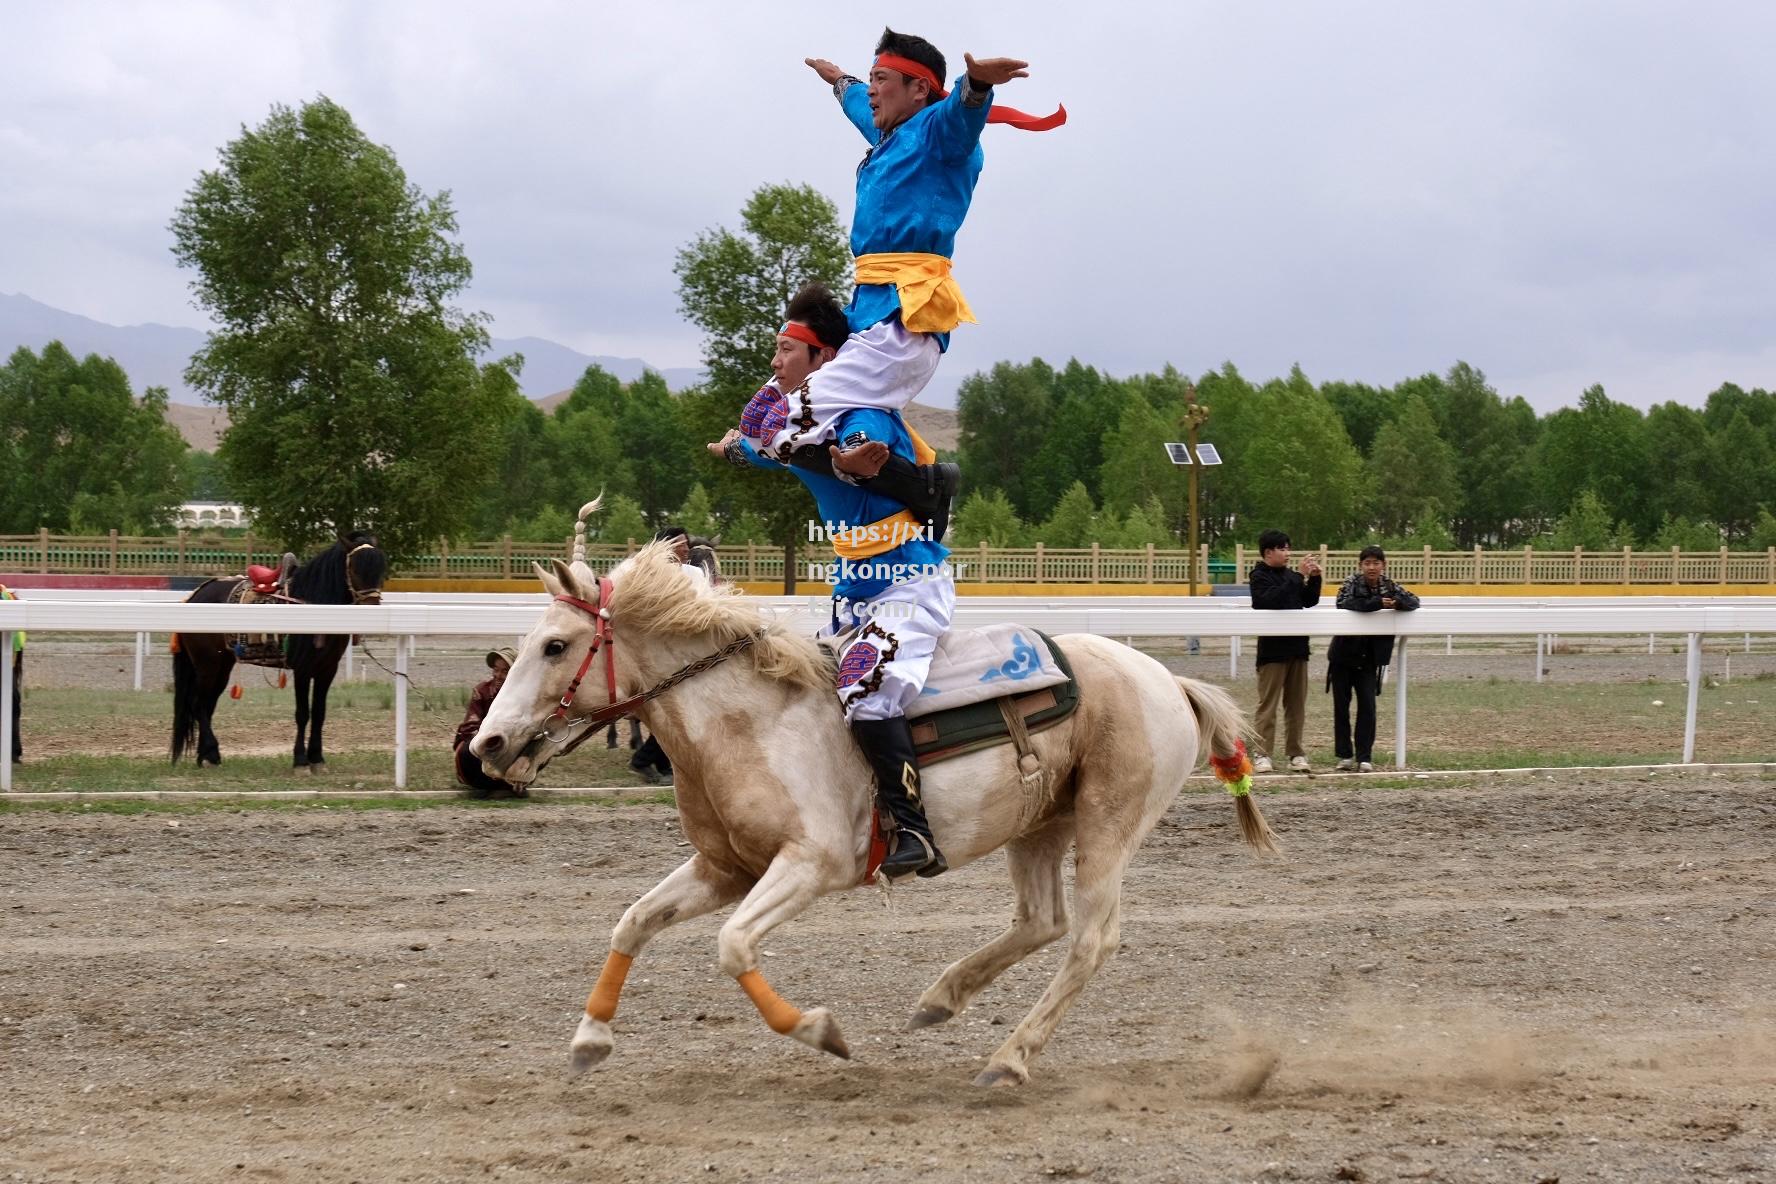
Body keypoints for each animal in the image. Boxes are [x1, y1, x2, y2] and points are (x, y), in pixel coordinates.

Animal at [171, 532, 387, 773]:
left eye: (381, 570)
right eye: (355, 569)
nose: (371, 609)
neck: (314, 604)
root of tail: (194, 595)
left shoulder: (327, 669)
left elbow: (319, 713)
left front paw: (317, 758)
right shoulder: (303, 669)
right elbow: (303, 713)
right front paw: (301, 761)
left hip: (222, 665)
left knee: (207, 705)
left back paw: (206, 756)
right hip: (206, 664)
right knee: (198, 704)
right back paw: (211, 752)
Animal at [472, 532, 1278, 1086]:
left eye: (554, 645)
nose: (488, 743)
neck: (750, 719)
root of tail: (1168, 680)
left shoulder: (809, 865)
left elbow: (733, 945)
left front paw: (820, 1031)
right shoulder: (725, 867)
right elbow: (633, 921)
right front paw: (589, 1040)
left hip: (1111, 825)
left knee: (1088, 942)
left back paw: (1009, 1057)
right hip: (1039, 826)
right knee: (1041, 921)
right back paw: (941, 998)